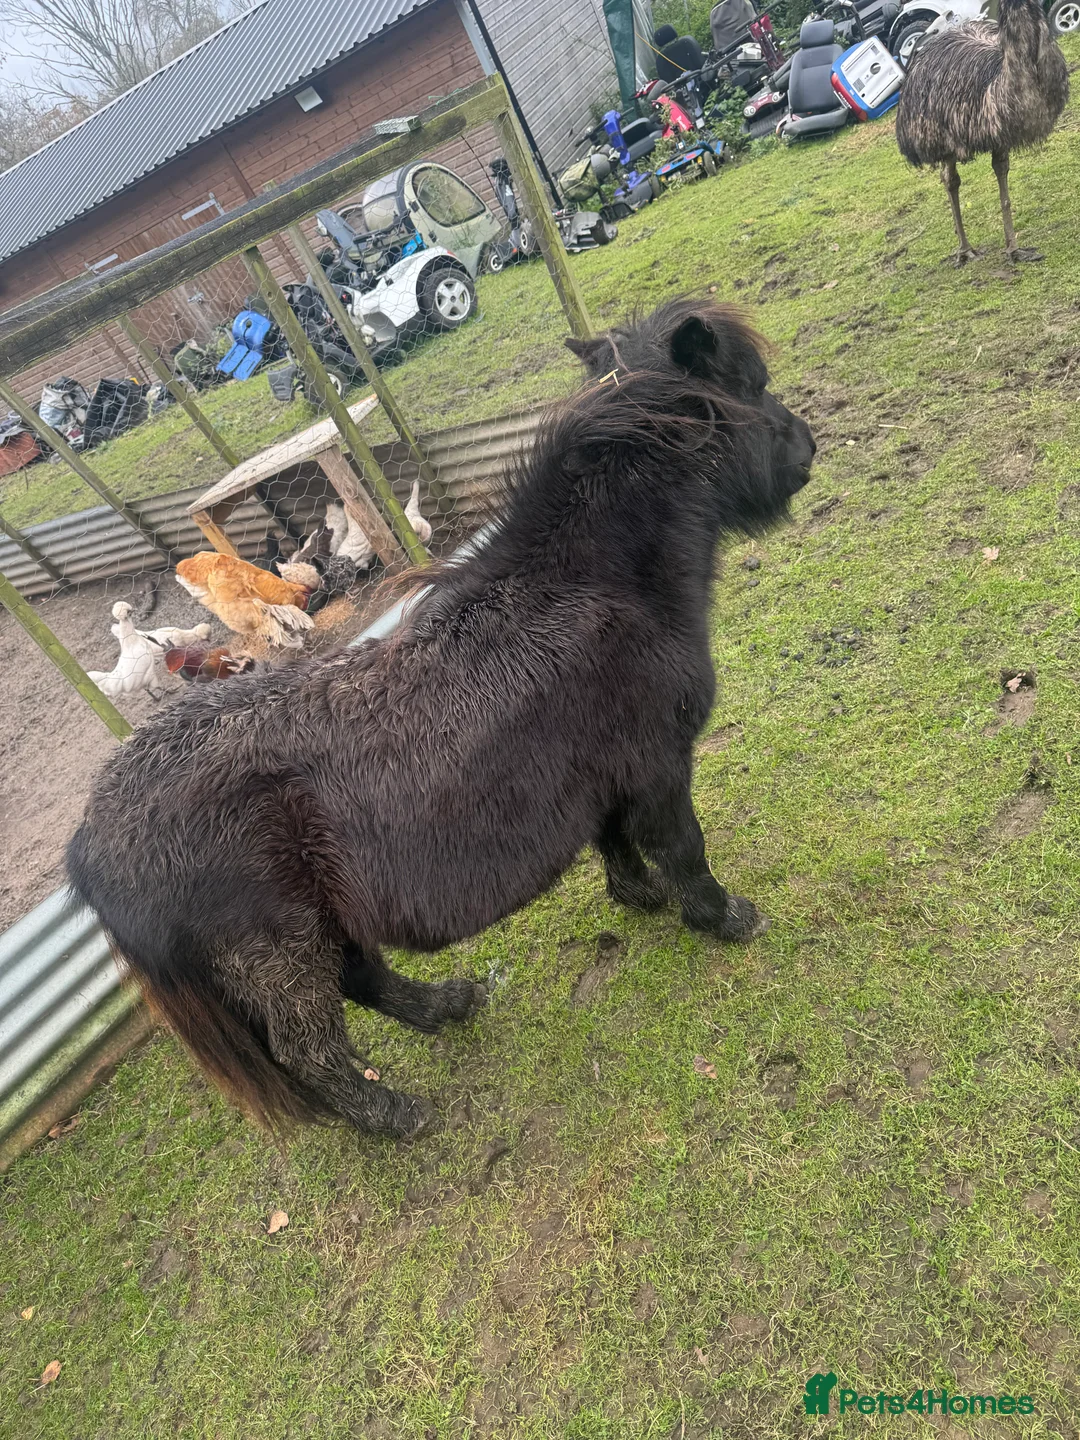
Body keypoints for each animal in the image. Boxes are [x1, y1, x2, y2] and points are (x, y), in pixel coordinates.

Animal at [67, 296, 816, 1141]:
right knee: (309, 1047)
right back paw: (396, 1116)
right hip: (276, 954)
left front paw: (641, 899)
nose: (807, 447)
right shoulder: (659, 768)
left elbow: (614, 842)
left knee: (363, 981)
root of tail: (91, 839)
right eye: (748, 385)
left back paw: (447, 1007)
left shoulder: (605, 777)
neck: (594, 589)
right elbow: (684, 851)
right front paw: (724, 918)